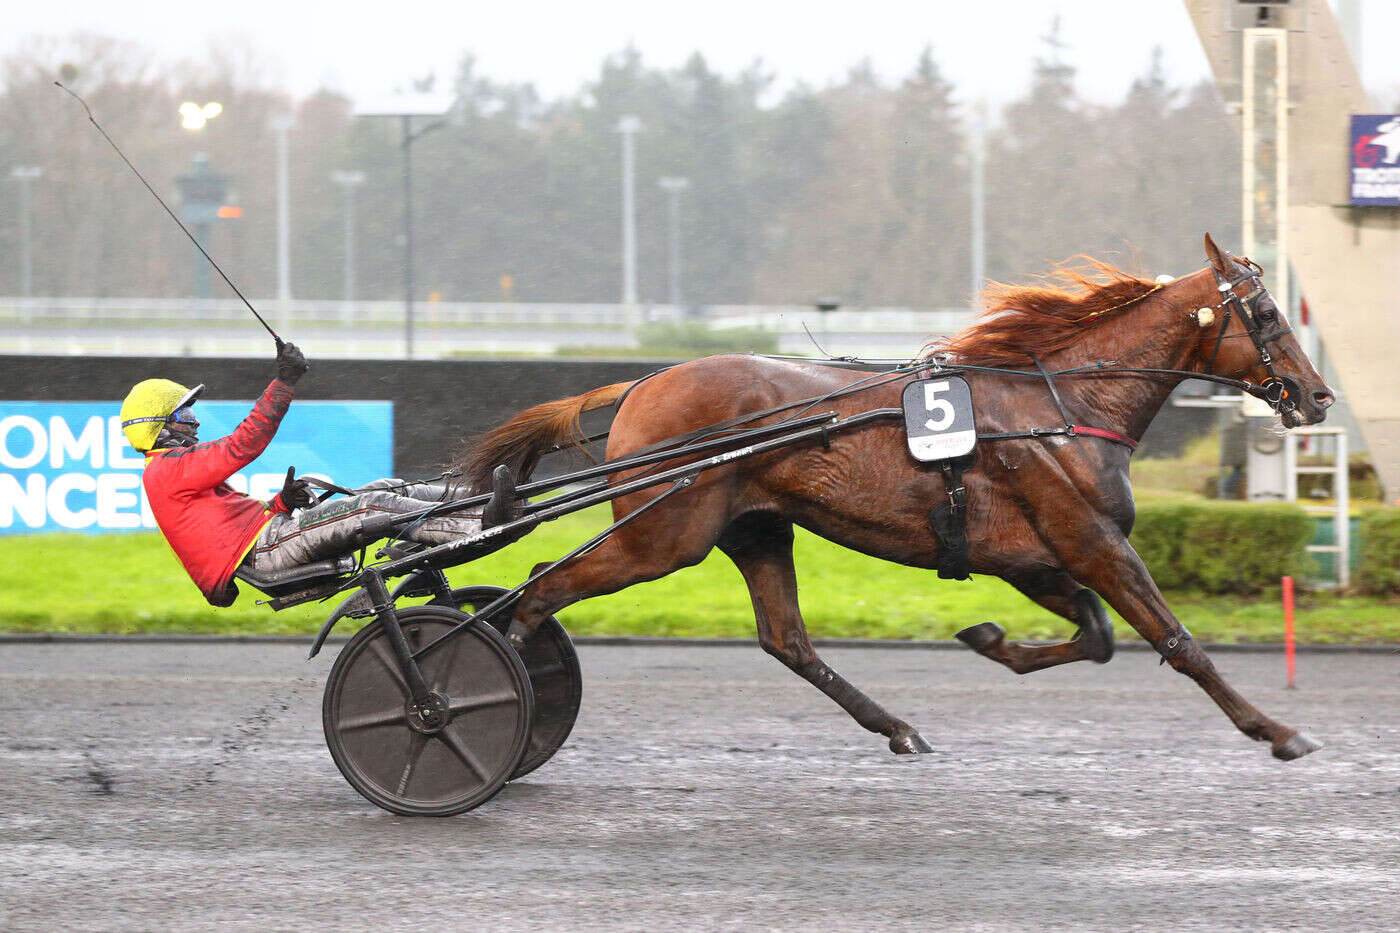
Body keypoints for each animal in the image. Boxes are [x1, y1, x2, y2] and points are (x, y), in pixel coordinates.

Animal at [462, 236, 1332, 762]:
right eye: (1266, 311)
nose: (1318, 396)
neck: (1058, 406)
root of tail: (643, 383)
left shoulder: (1032, 557)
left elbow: (1095, 636)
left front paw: (988, 638)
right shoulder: (1092, 542)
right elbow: (1175, 639)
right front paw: (1277, 729)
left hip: (755, 528)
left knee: (788, 641)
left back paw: (897, 726)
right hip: (663, 537)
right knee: (539, 586)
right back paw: (475, 693)